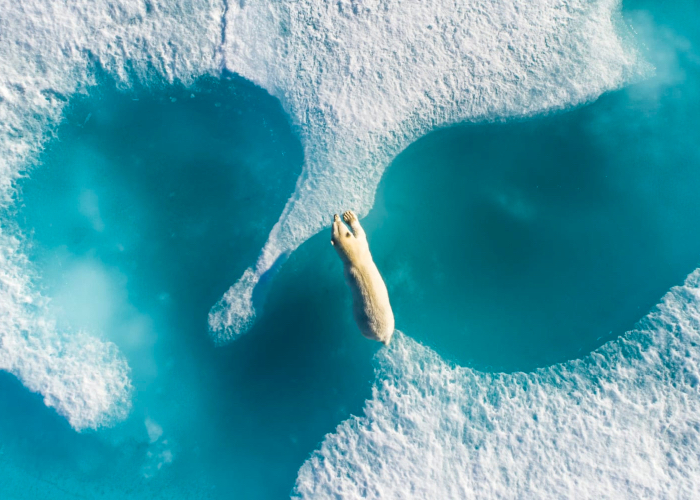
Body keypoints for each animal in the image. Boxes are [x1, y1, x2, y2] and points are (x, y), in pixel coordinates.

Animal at [331, 210, 395, 345]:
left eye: (337, 224)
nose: (335, 216)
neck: (354, 258)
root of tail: (383, 337)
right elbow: (360, 233)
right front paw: (349, 217)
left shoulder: (360, 250)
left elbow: (361, 234)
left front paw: (348, 216)